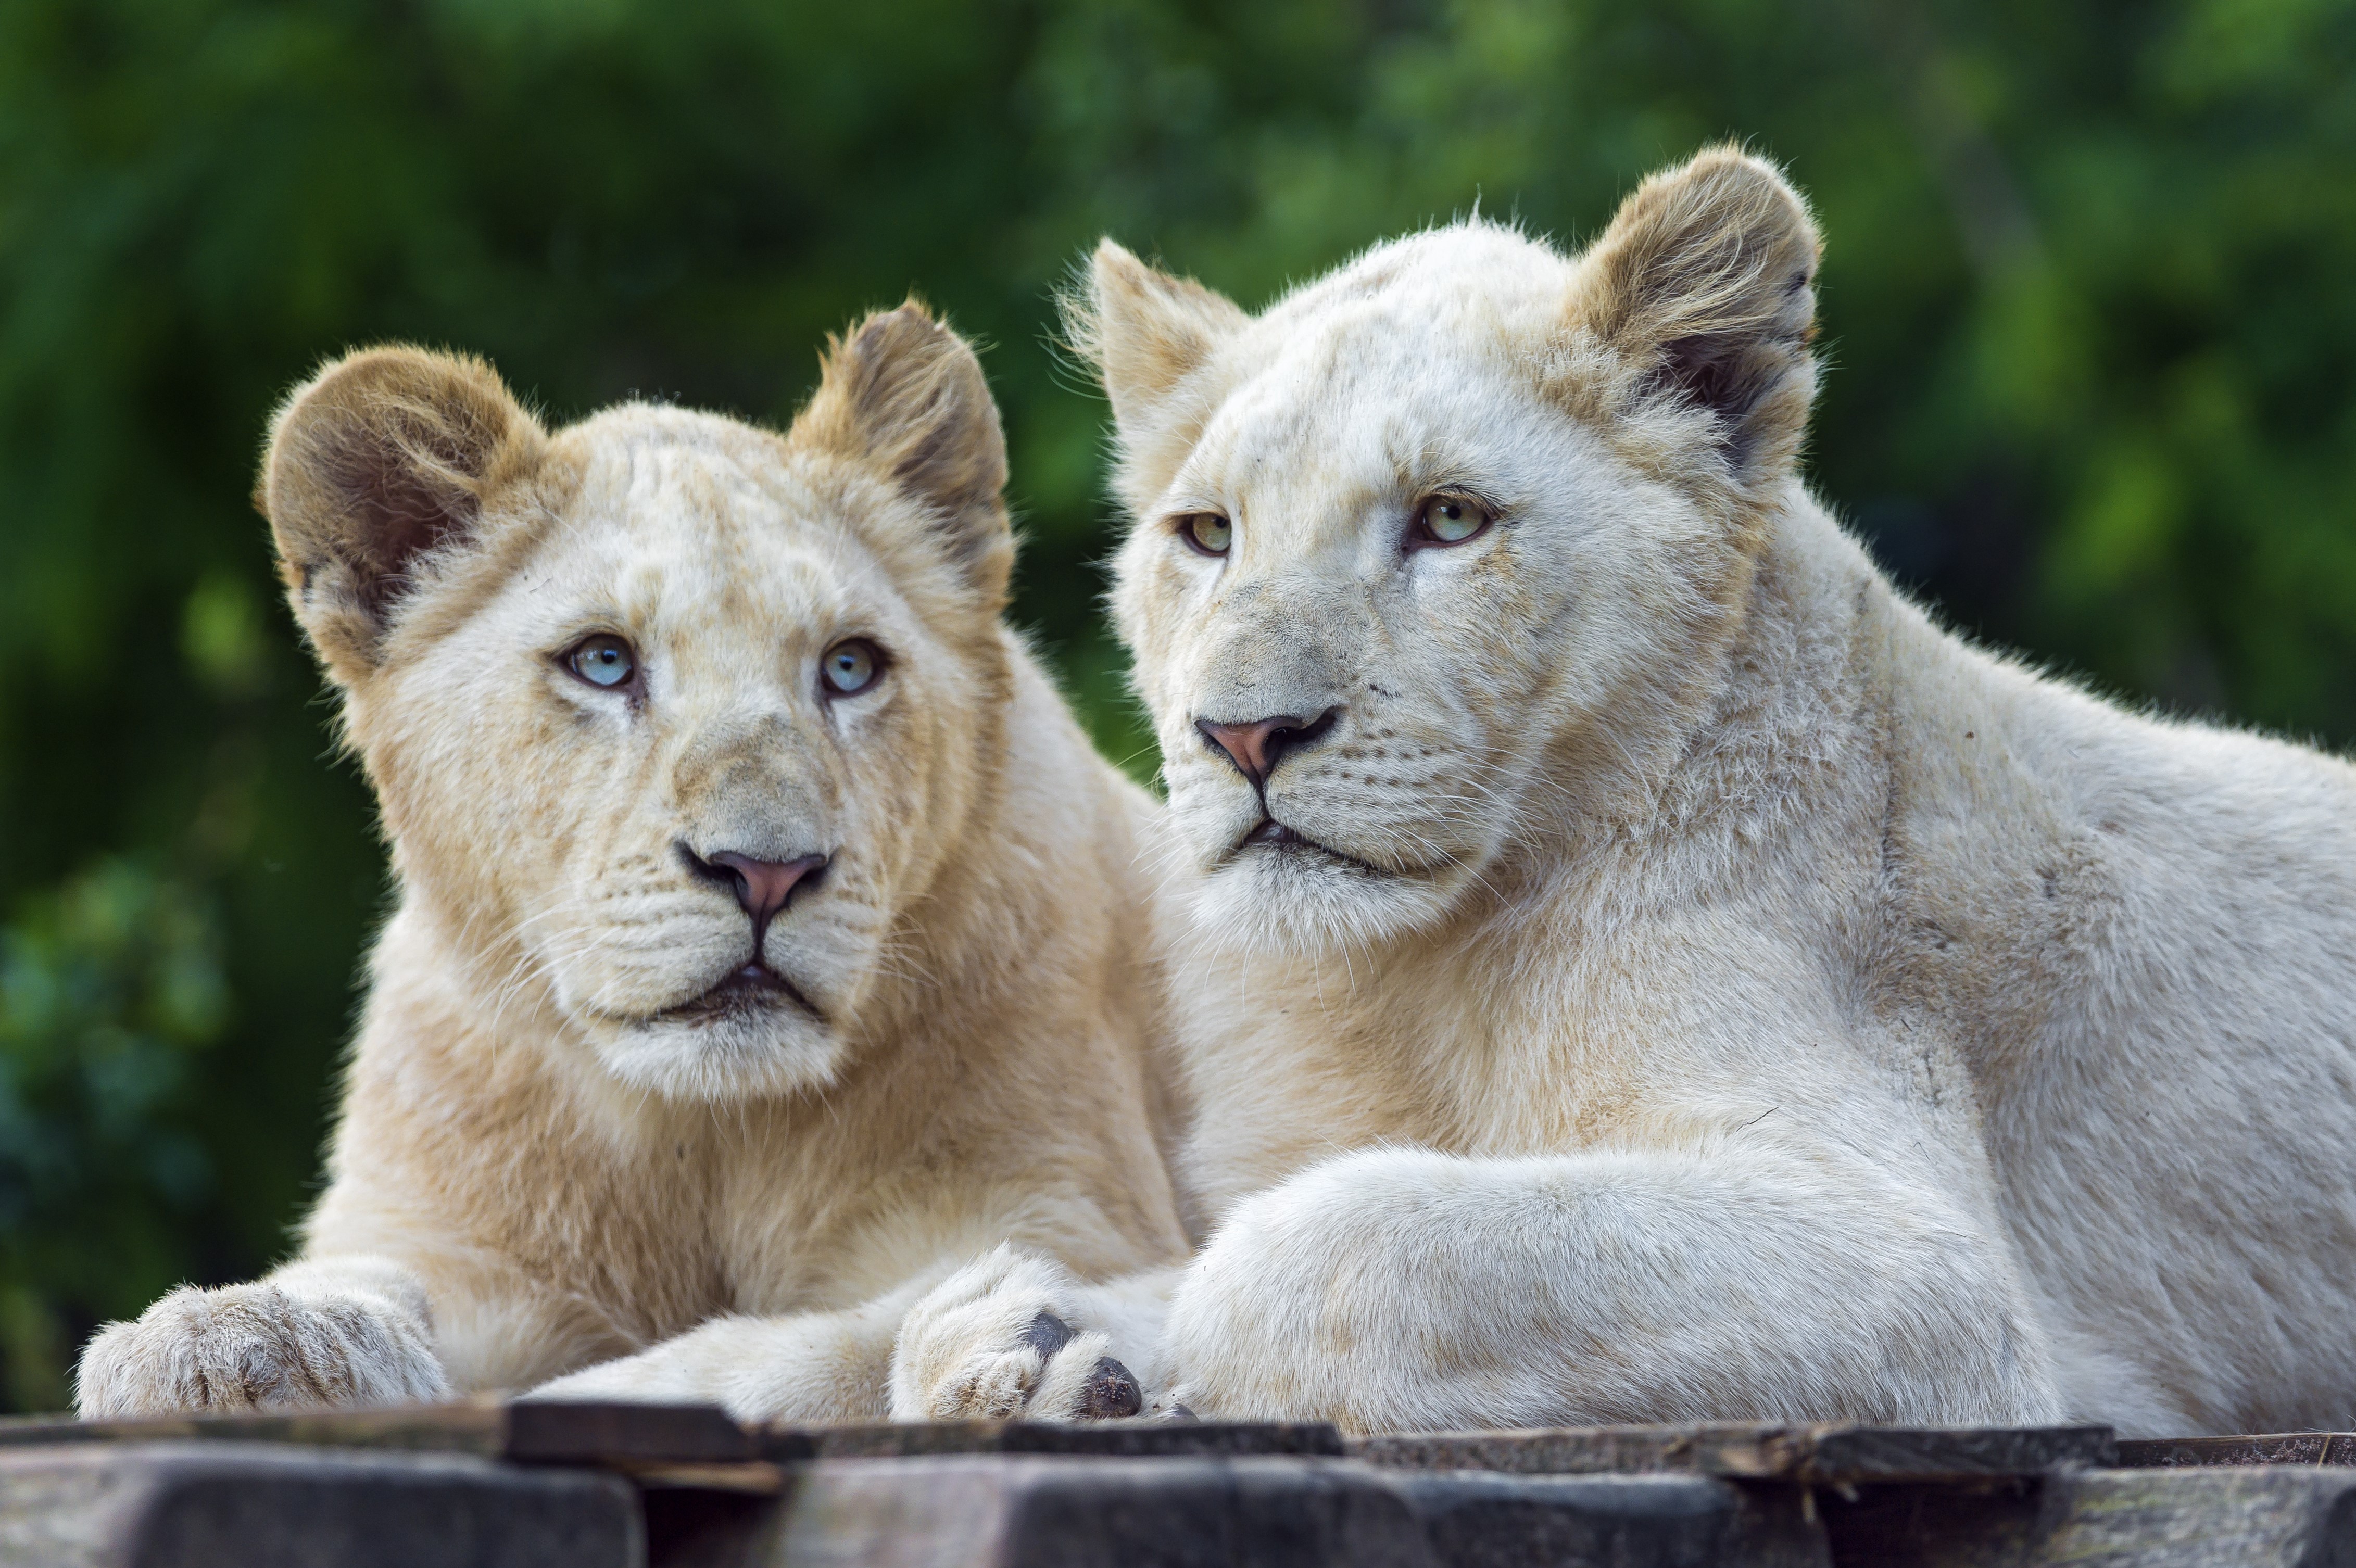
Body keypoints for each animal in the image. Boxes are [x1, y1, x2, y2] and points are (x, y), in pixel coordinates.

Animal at [73, 304, 1187, 1424]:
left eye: (849, 668)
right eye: (603, 662)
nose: (765, 872)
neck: (699, 1138)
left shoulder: (1063, 1208)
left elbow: (734, 1359)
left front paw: (1021, 1353)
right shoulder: (451, 1244)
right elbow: (372, 1284)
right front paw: (223, 1335)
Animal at [903, 146, 2356, 1438]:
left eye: (1449, 518)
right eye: (1207, 534)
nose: (1244, 735)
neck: (1396, 985)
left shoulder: (1926, 1269)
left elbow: (1333, 1244)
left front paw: (1112, 1339)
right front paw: (1021, 1341)